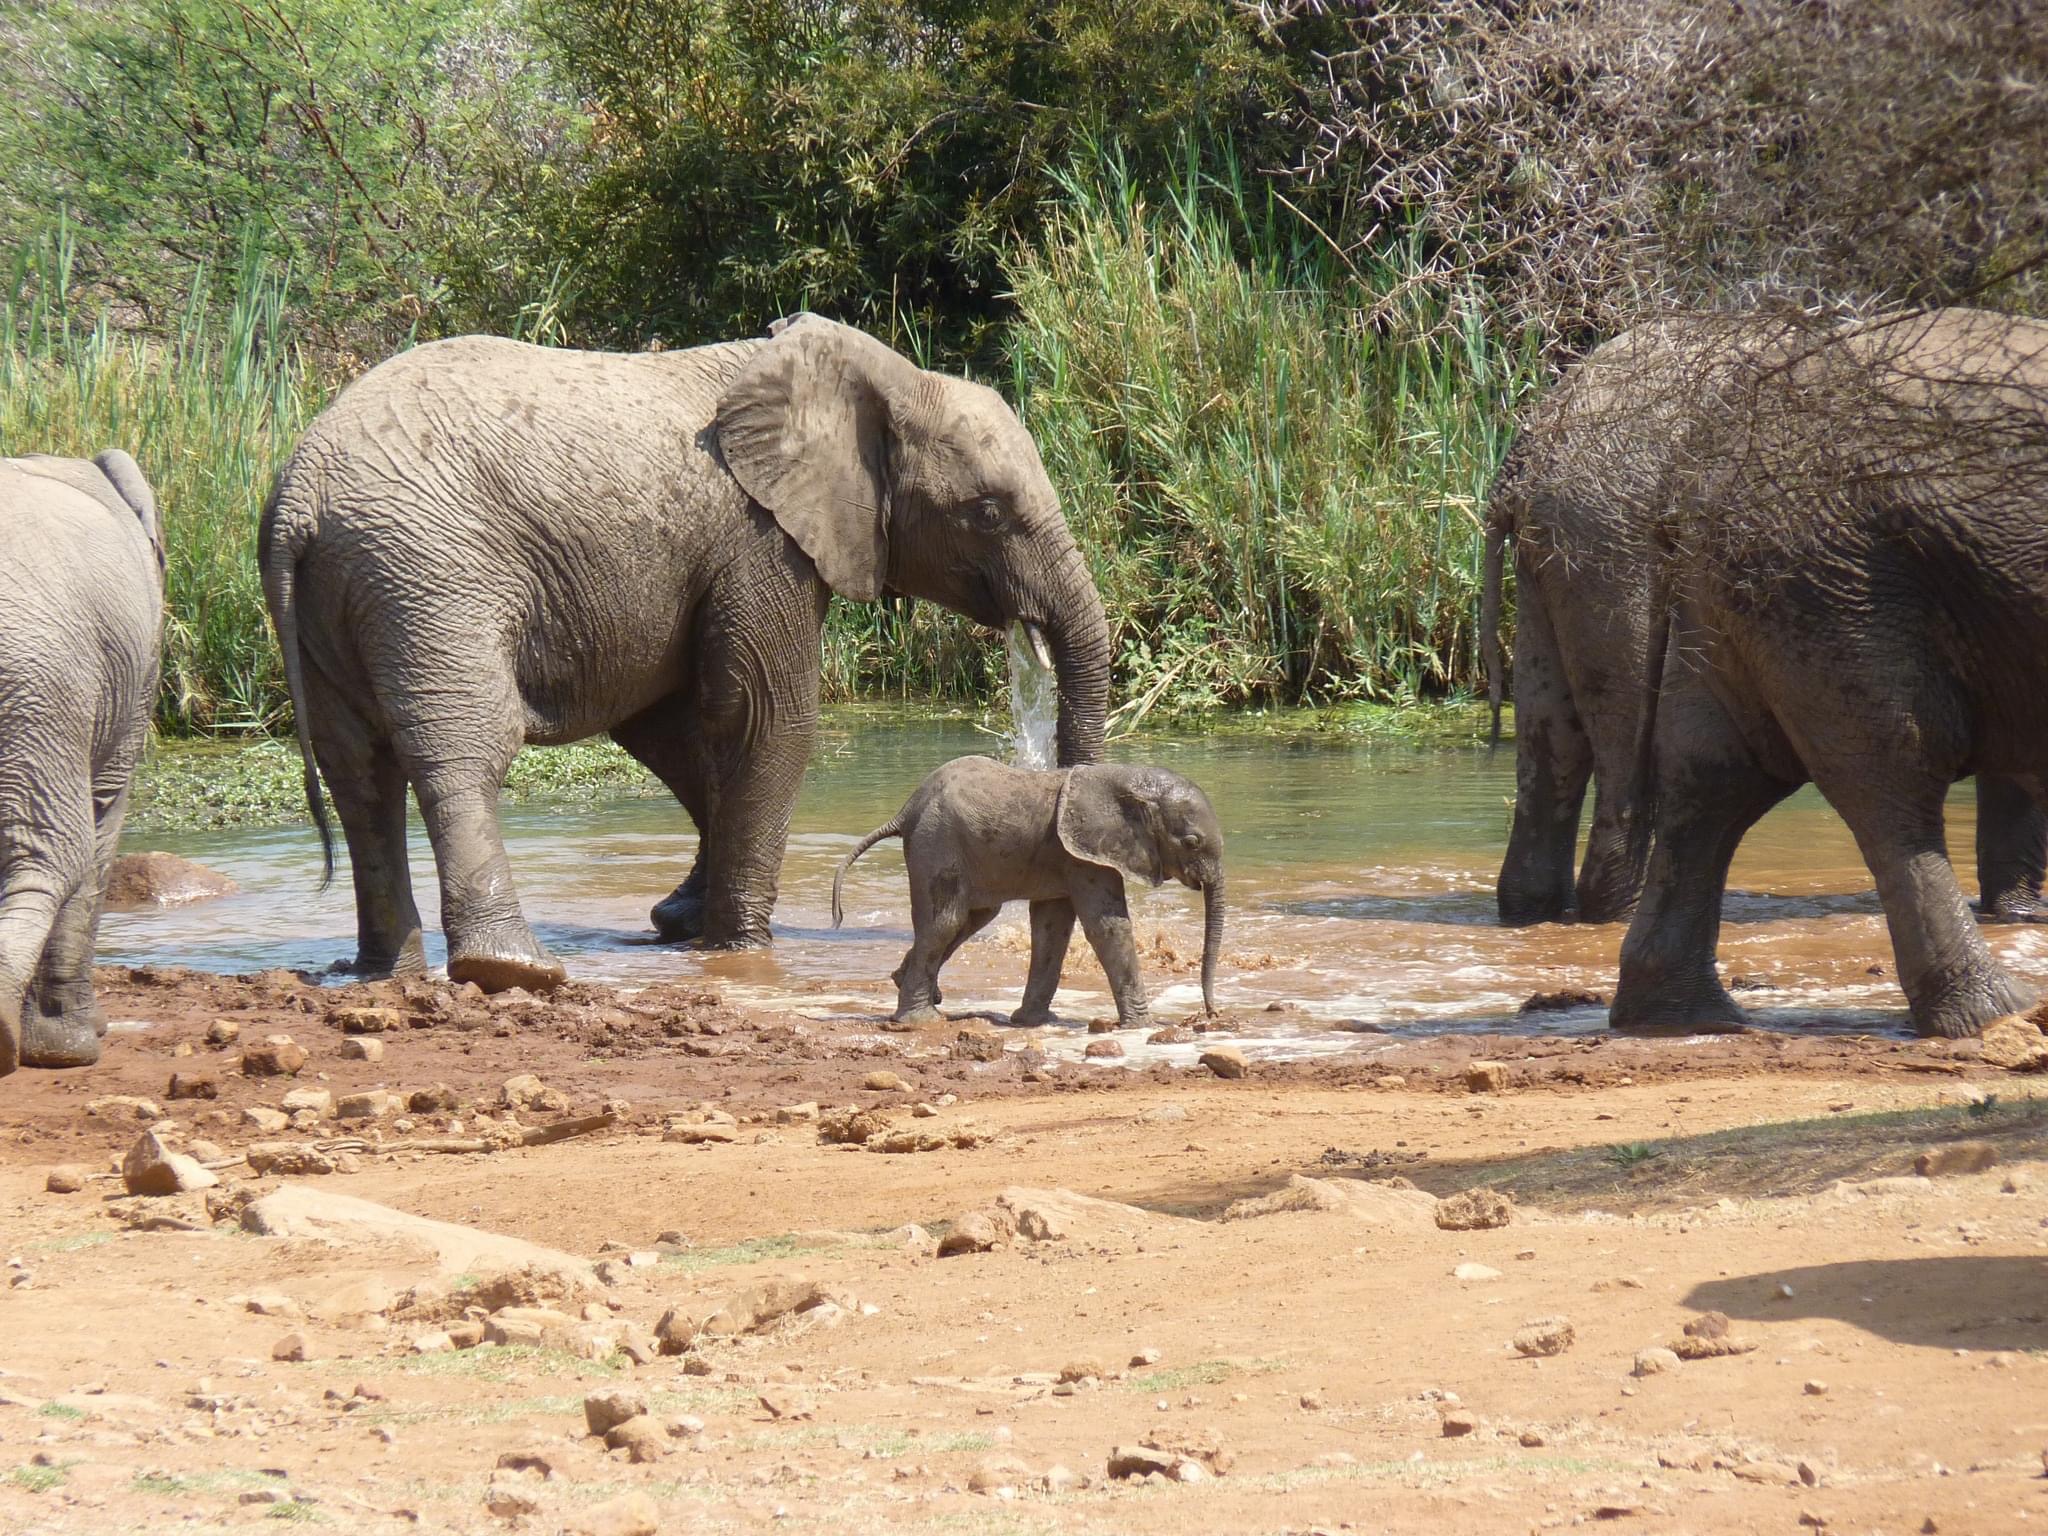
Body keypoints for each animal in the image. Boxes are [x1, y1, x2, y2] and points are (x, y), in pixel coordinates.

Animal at [260, 315, 1111, 992]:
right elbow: (765, 717)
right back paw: (511, 969)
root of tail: (298, 497)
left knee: (358, 773)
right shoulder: (759, 538)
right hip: (428, 575)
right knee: (464, 749)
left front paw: (678, 923)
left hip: (344, 596)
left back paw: (383, 971)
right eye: (989, 513)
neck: (873, 380)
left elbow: (670, 726)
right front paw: (738, 948)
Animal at [830, 756, 1225, 1028]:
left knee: (970, 920)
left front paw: (1034, 1022)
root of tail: (905, 811)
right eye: (1191, 842)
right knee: (945, 923)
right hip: (937, 843)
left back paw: (911, 986)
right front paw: (1142, 1026)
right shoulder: (1086, 853)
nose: (1211, 1013)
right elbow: (1107, 927)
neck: (1123, 777)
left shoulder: (1069, 856)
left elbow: (1053, 927)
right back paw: (920, 1021)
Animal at [1483, 318, 2048, 927]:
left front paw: (2017, 916)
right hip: (1611, 543)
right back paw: (1614, 914)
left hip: (1557, 546)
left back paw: (1532, 912)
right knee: (1626, 740)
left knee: (1553, 733)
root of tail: (1534, 441)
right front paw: (2024, 918)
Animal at [1612, 308, 2048, 1038]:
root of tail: (1697, 457)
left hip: (1742, 584)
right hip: (1836, 573)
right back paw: (1995, 1015)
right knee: (1894, 769)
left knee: (1714, 772)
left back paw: (1685, 1017)